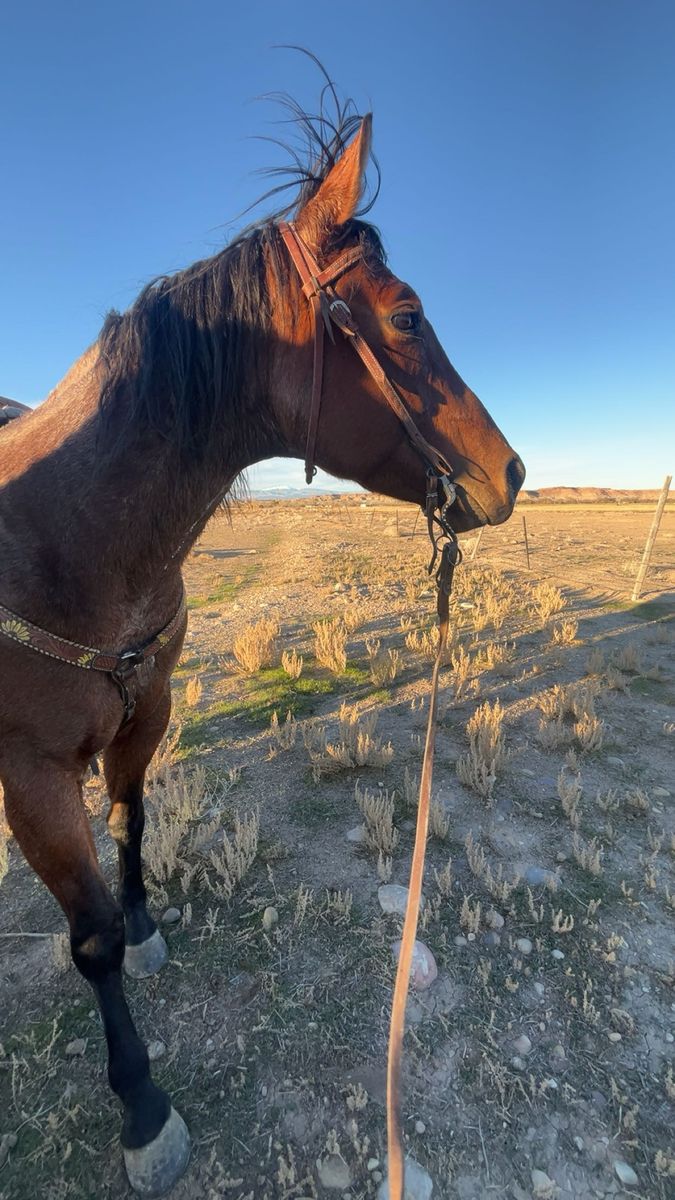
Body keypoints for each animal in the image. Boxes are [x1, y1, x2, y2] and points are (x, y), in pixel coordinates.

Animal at [0, 93, 524, 1195]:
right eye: (405, 315)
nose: (511, 473)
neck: (57, 533)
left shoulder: (147, 711)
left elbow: (130, 822)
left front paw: (148, 926)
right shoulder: (30, 776)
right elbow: (89, 941)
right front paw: (143, 1109)